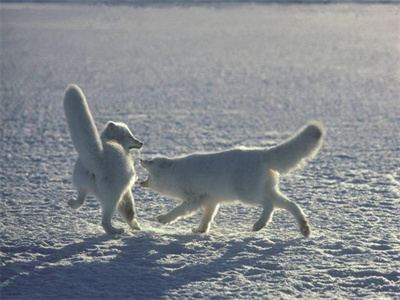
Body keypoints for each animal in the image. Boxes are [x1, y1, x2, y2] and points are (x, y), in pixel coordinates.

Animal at [63, 84, 143, 234]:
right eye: (130, 136)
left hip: (82, 185)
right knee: (104, 221)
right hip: (113, 195)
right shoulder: (125, 189)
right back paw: (116, 231)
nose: (141, 143)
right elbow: (130, 210)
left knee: (80, 200)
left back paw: (71, 202)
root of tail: (98, 159)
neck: (110, 140)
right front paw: (136, 227)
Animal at [141, 122, 324, 237]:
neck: (173, 174)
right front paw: (200, 231)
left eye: (152, 162)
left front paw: (164, 218)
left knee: (269, 204)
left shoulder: (193, 200)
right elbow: (206, 219)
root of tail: (261, 153)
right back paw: (304, 228)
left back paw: (259, 224)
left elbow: (178, 211)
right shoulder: (211, 202)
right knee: (291, 204)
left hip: (247, 195)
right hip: (267, 191)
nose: (141, 159)